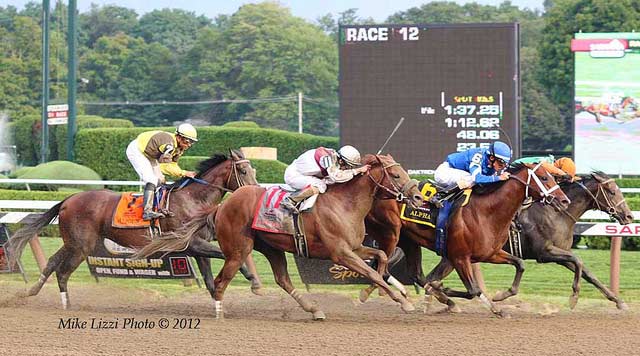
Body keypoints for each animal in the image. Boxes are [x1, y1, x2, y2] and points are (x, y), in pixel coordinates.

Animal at [5, 148, 260, 308]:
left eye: (254, 171)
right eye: (243, 171)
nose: (255, 192)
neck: (193, 199)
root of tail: (69, 199)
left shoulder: (197, 247)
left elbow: (210, 278)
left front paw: (221, 303)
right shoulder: (190, 243)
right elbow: (228, 256)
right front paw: (255, 283)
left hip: (73, 243)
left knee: (51, 263)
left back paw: (30, 292)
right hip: (81, 246)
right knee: (62, 271)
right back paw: (66, 305)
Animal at [138, 154, 422, 320]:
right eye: (396, 174)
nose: (418, 196)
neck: (345, 204)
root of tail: (222, 206)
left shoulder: (354, 248)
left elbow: (381, 258)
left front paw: (375, 292)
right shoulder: (340, 253)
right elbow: (373, 271)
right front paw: (403, 302)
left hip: (271, 247)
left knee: (283, 279)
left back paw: (314, 310)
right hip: (238, 249)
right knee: (220, 281)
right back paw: (220, 312)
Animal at [362, 163, 568, 316]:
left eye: (551, 176)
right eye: (544, 178)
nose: (564, 200)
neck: (486, 212)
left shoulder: (490, 254)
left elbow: (520, 264)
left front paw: (501, 298)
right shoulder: (459, 258)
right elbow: (473, 290)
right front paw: (445, 289)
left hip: (409, 240)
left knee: (415, 274)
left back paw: (440, 299)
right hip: (390, 234)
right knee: (380, 267)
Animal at [504, 172, 636, 308]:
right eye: (612, 192)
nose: (629, 216)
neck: (557, 214)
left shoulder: (562, 253)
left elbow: (587, 273)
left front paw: (618, 301)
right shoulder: (543, 252)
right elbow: (578, 260)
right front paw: (574, 296)